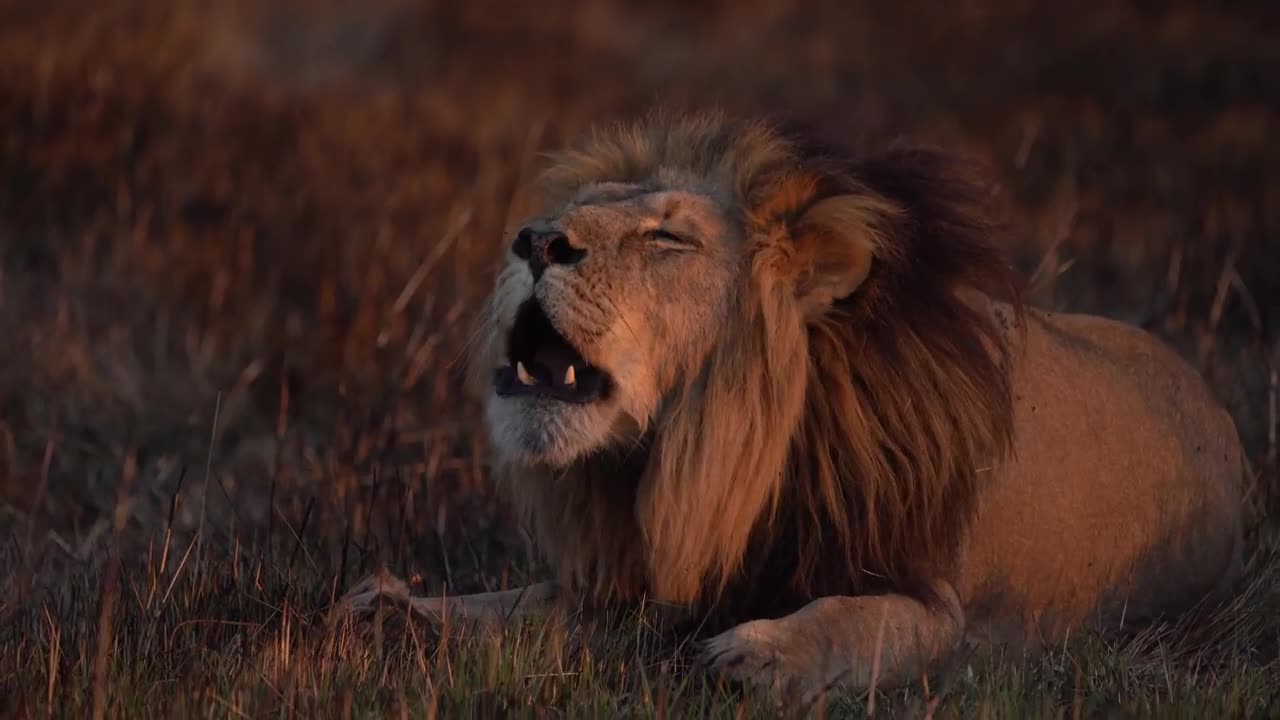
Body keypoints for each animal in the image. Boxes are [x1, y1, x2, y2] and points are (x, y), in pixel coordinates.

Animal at [340, 112, 1239, 702]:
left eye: (667, 239)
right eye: (565, 213)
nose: (531, 241)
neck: (717, 453)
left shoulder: (935, 601)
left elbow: (860, 623)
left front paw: (760, 655)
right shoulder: (631, 588)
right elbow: (517, 604)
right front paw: (396, 611)